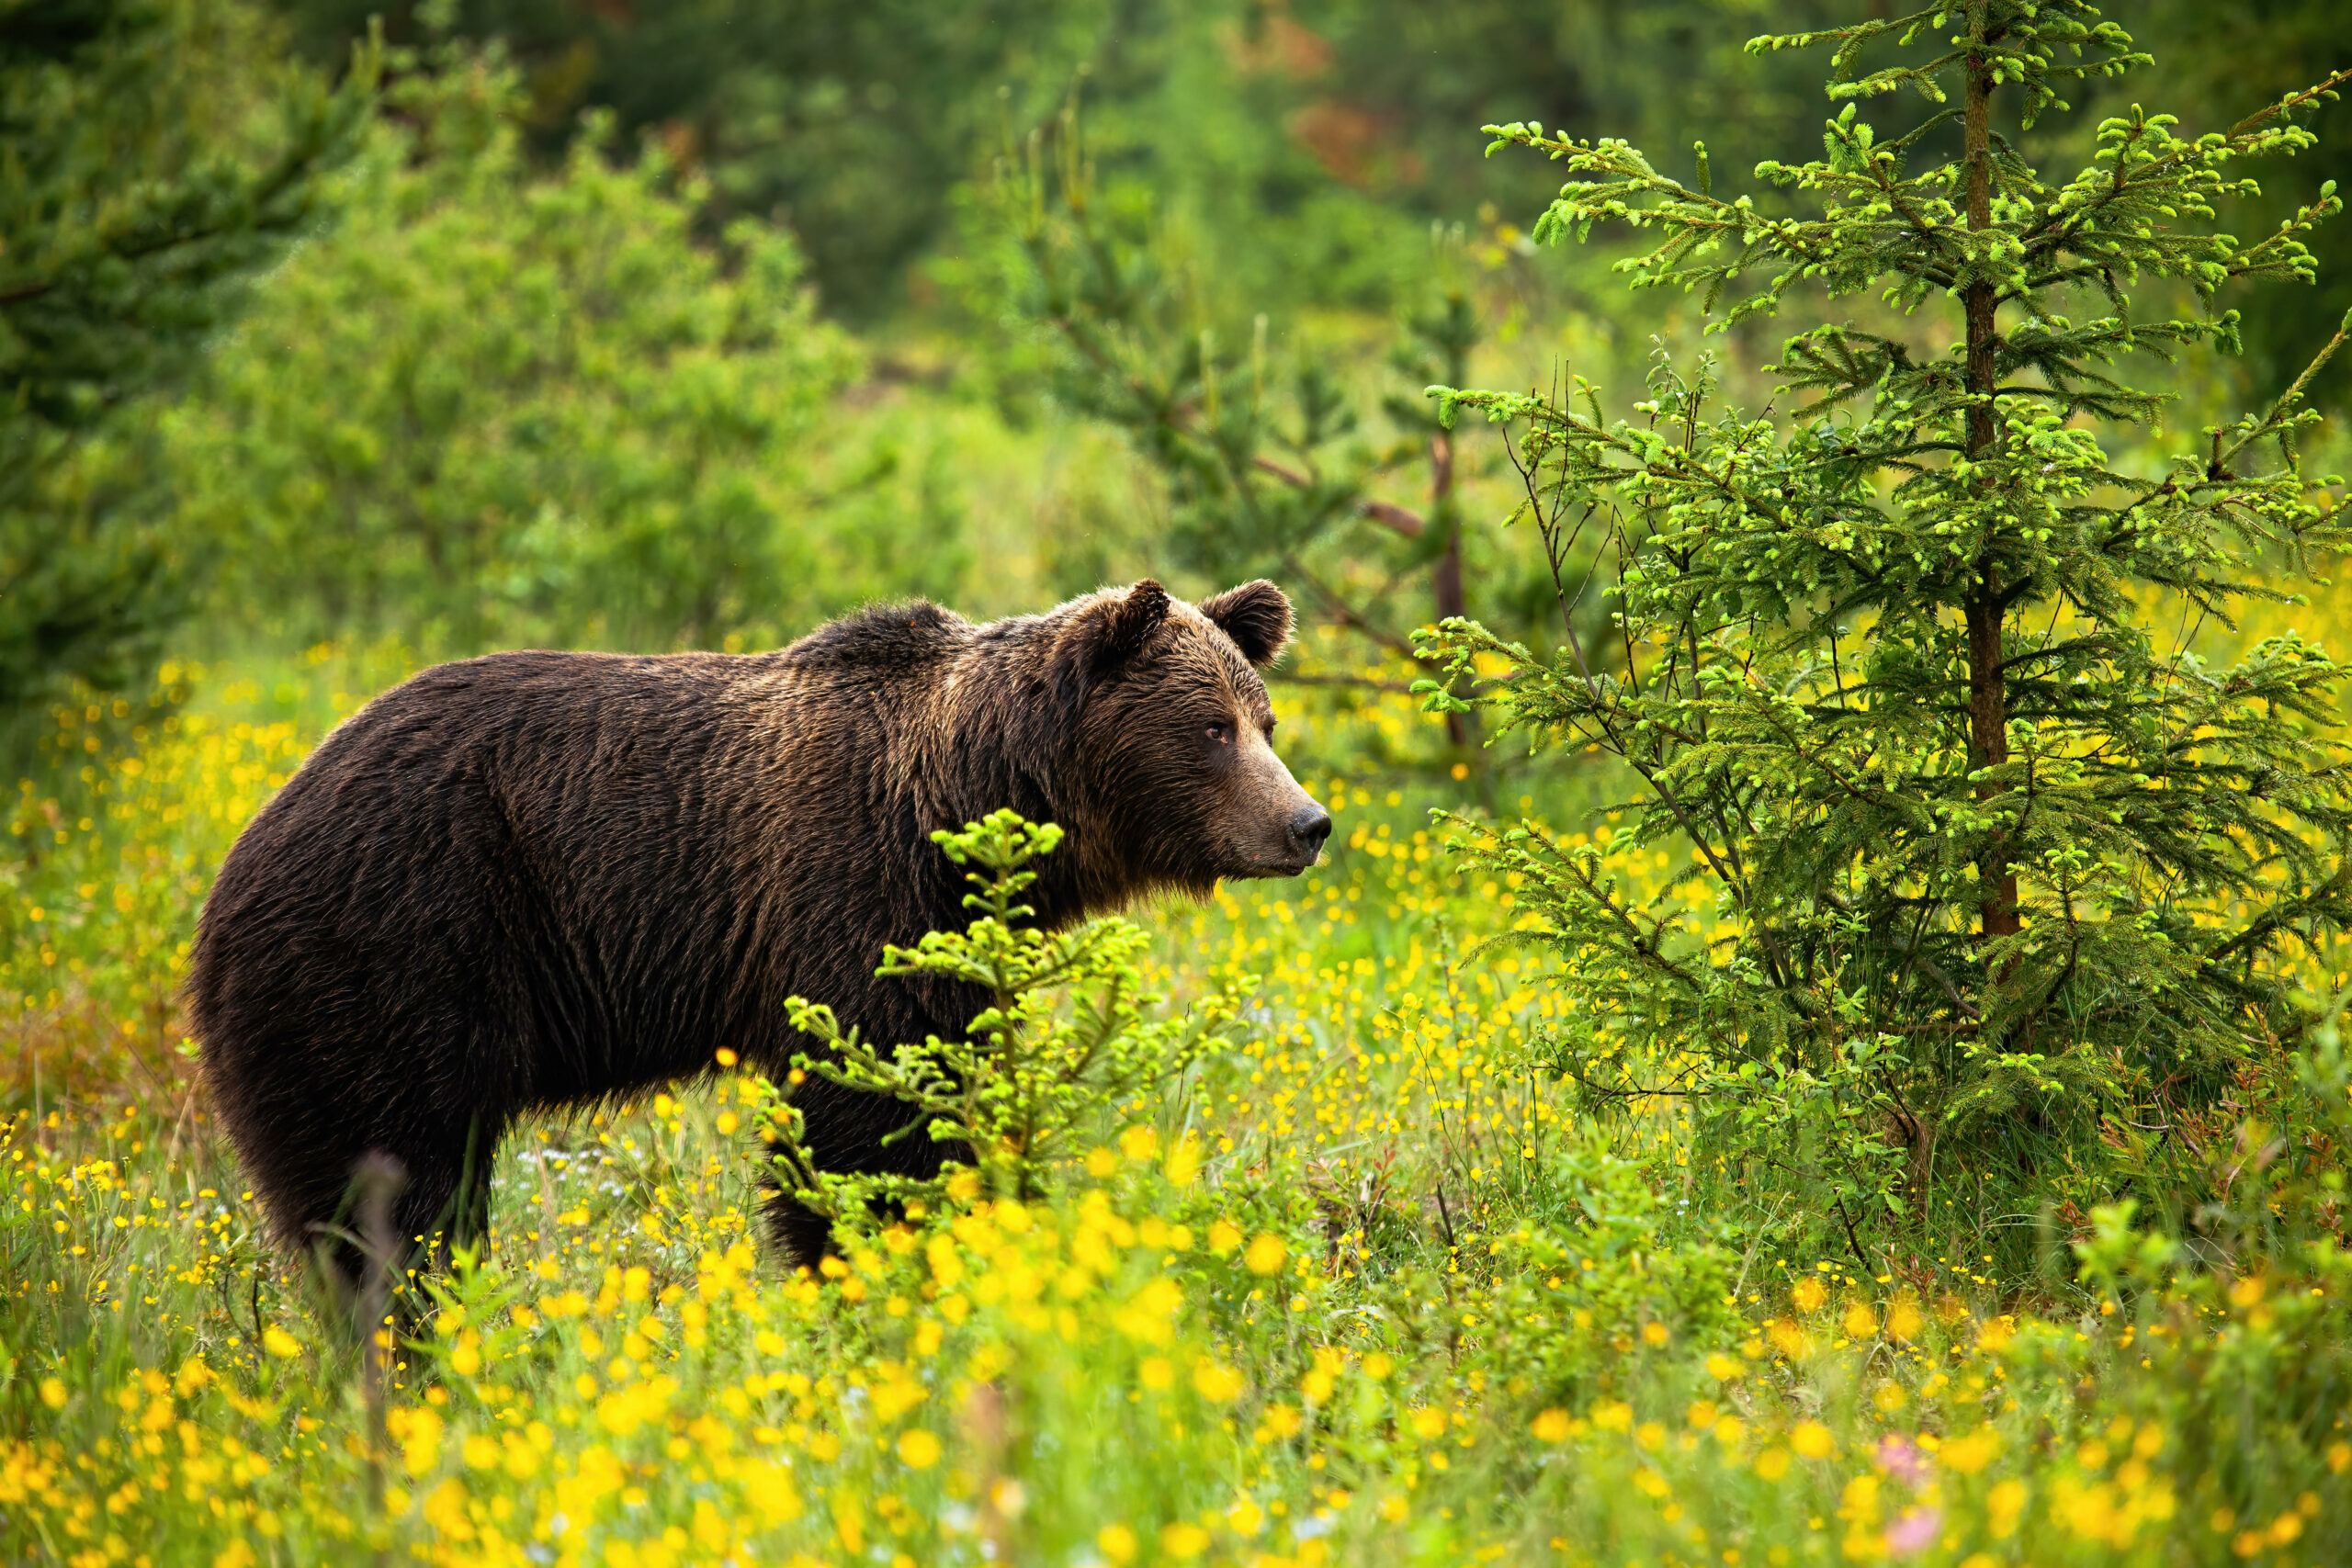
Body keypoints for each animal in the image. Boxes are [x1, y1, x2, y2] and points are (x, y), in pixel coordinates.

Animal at [187, 582, 1326, 1279]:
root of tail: (238, 858)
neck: (963, 804)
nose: (1306, 824)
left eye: (1265, 720)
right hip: (395, 949)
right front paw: (872, 1260)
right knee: (388, 1188)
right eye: (1210, 728)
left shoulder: (953, 944)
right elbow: (862, 1118)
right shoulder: (852, 893)